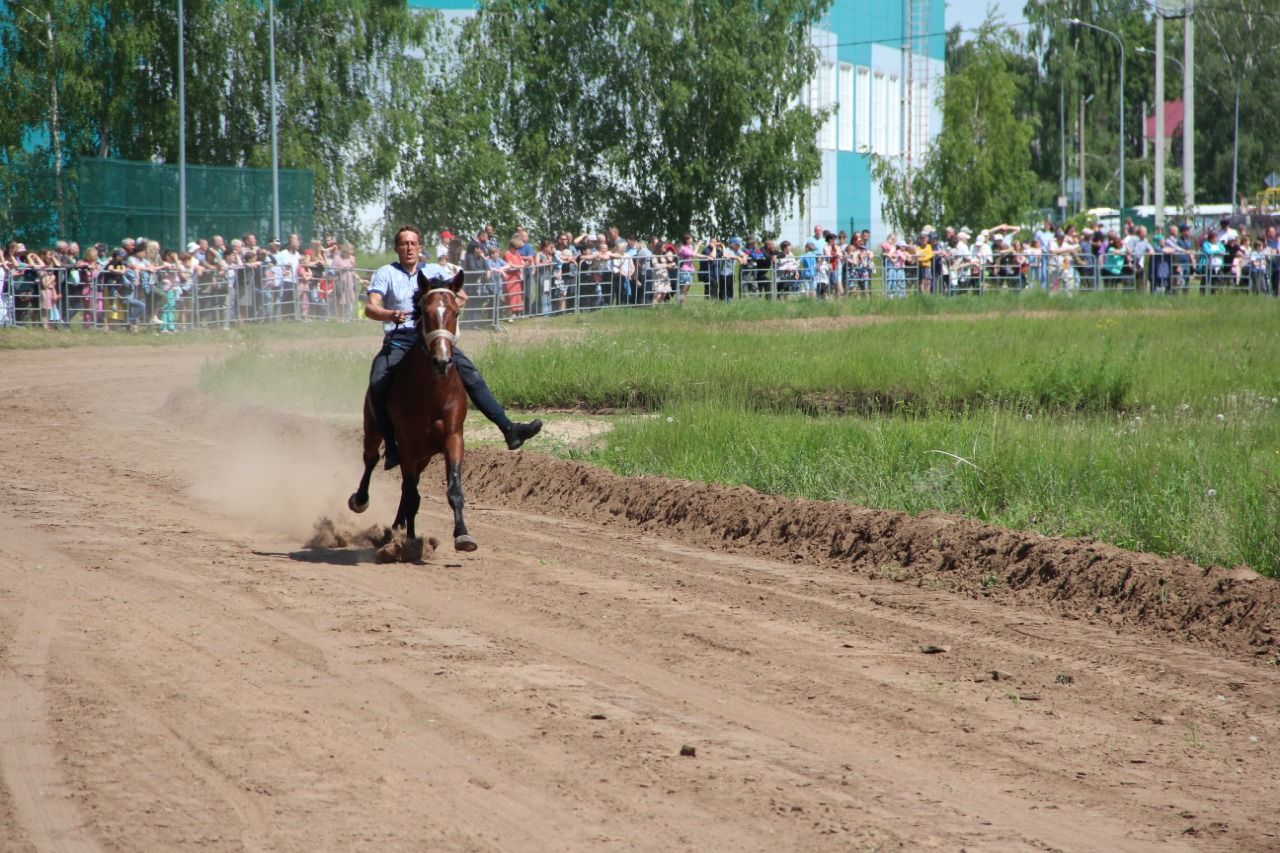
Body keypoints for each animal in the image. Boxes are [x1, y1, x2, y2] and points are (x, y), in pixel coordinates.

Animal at [345, 268, 476, 555]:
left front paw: (463, 535)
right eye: (425, 313)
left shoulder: (453, 437)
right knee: (372, 460)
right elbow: (412, 494)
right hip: (374, 429)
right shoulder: (407, 443)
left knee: (407, 488)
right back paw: (363, 502)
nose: (442, 361)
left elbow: (453, 490)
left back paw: (398, 528)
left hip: (423, 455)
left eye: (456, 313)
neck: (432, 393)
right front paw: (409, 542)